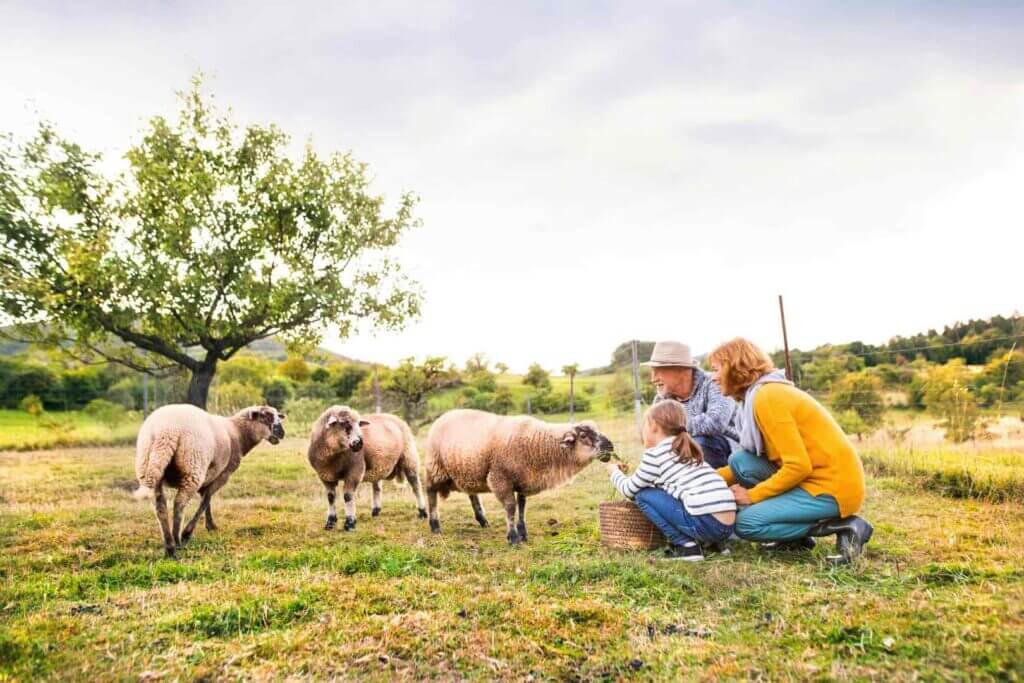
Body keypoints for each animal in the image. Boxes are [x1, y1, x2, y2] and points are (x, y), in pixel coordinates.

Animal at [132, 405, 286, 557]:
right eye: (267, 418)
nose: (282, 433)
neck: (238, 433)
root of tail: (165, 432)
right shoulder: (223, 474)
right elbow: (206, 501)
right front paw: (191, 532)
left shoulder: (209, 475)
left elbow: (207, 500)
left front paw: (210, 526)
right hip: (193, 468)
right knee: (179, 504)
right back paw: (178, 540)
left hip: (149, 465)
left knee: (160, 506)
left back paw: (169, 546)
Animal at [419, 409, 610, 548]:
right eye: (583, 436)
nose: (610, 446)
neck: (537, 444)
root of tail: (444, 415)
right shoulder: (501, 478)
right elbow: (511, 507)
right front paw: (513, 538)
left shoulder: (523, 480)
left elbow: (522, 506)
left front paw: (523, 533)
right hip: (435, 467)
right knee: (430, 492)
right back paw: (434, 525)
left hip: (468, 470)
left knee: (472, 493)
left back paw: (483, 520)